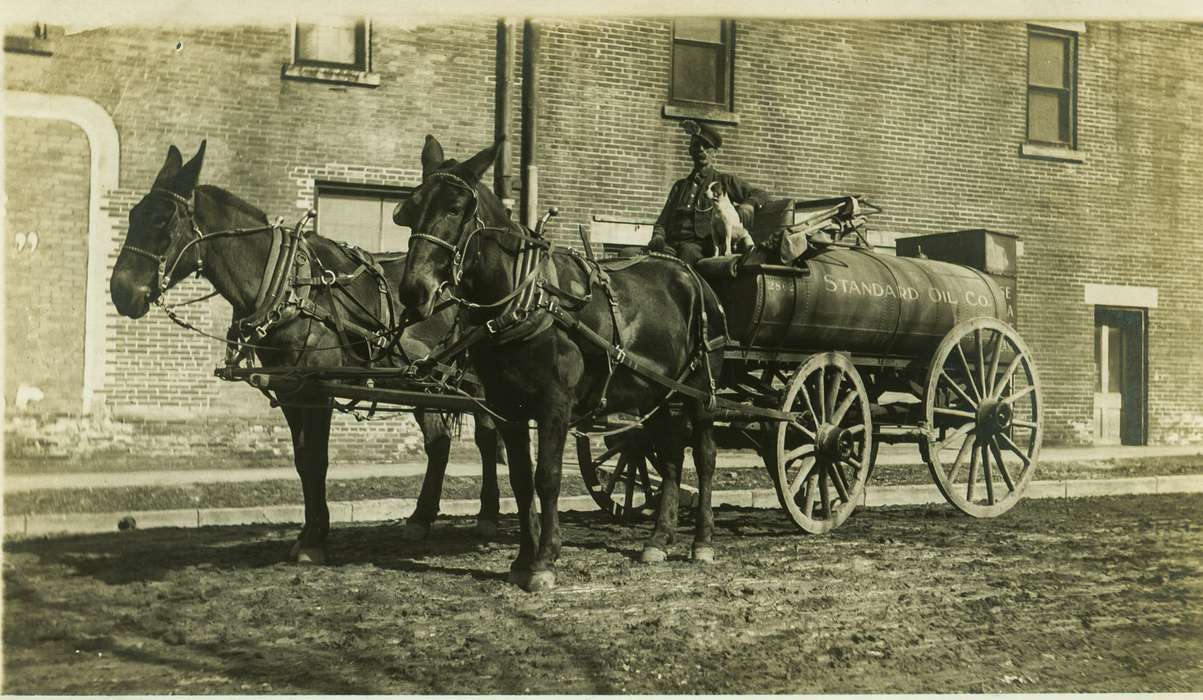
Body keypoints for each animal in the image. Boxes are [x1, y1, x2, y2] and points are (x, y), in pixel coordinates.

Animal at [110, 142, 505, 565]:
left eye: (162, 221)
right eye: (133, 215)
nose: (120, 291)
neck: (288, 286)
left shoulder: (317, 390)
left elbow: (317, 459)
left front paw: (315, 540)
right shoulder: (290, 389)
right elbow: (302, 462)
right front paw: (309, 532)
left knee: (487, 435)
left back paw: (487, 513)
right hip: (422, 381)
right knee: (440, 441)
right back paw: (422, 518)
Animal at [394, 132, 721, 591]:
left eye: (455, 209)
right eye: (409, 209)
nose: (413, 291)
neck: (528, 301)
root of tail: (691, 274)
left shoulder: (555, 404)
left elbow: (546, 477)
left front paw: (545, 559)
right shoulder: (507, 407)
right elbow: (520, 478)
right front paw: (522, 558)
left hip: (700, 390)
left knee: (705, 456)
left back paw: (703, 540)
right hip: (656, 392)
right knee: (671, 454)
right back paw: (658, 538)